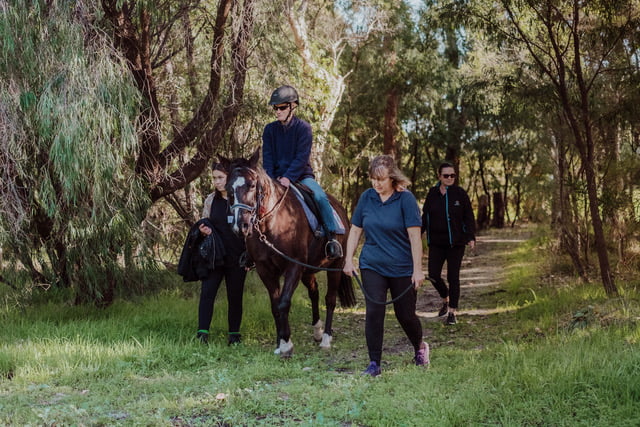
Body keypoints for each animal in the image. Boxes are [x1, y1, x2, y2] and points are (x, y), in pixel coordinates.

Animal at [221, 150, 358, 358]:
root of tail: (340, 209)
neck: (273, 222)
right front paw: (280, 342)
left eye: (252, 185)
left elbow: (284, 303)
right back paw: (317, 332)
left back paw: (326, 338)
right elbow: (275, 306)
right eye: (229, 187)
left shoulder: (293, 266)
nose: (240, 226)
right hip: (308, 271)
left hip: (335, 266)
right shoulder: (265, 270)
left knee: (330, 299)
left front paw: (286, 345)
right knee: (314, 293)